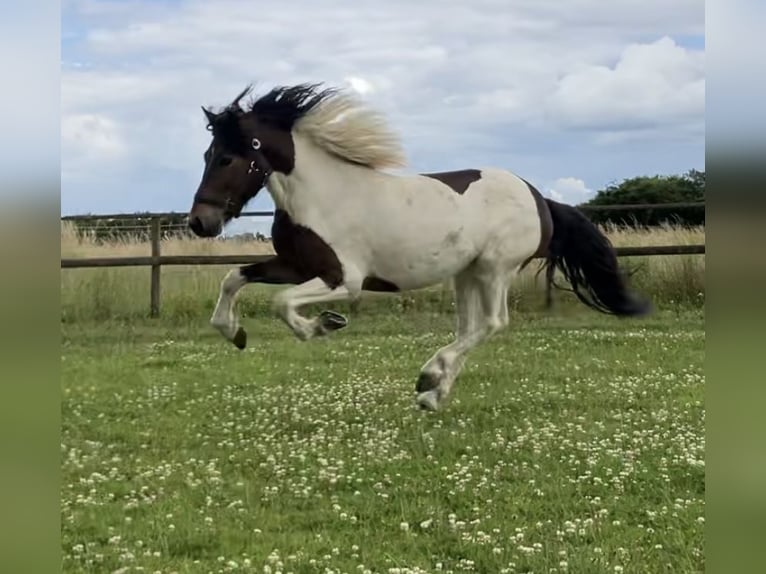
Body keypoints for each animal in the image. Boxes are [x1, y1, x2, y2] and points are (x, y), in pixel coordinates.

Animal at [188, 82, 651, 411]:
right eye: (207, 154)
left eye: (227, 158)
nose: (199, 222)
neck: (322, 195)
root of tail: (539, 198)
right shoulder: (297, 264)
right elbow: (234, 278)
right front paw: (235, 333)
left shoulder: (344, 278)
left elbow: (281, 303)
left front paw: (322, 325)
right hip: (466, 273)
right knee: (469, 328)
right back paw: (433, 395)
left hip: (495, 268)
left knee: (492, 323)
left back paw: (429, 377)